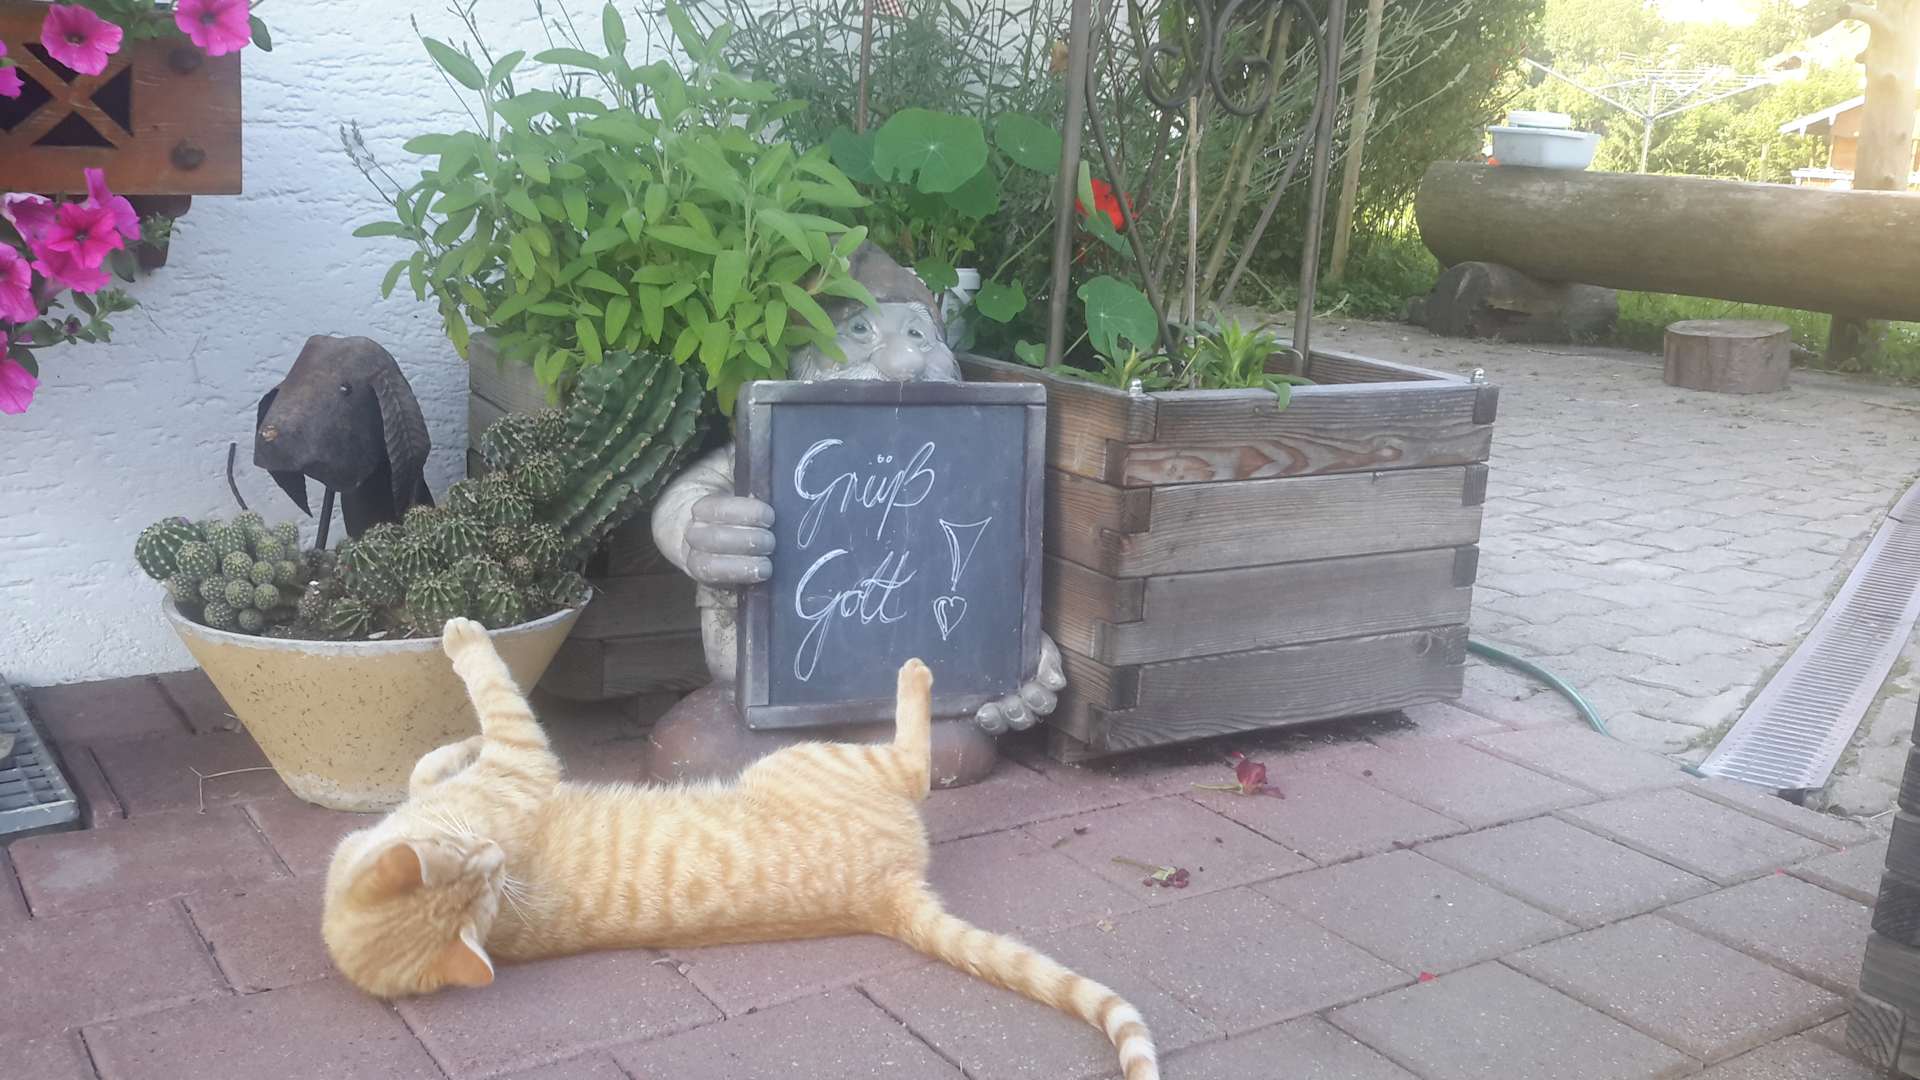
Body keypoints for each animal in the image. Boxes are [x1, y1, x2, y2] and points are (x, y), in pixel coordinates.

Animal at [322, 617, 1159, 1080]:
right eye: (487, 872)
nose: (502, 859)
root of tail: (883, 901)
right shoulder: (519, 759)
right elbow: (486, 688)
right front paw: (463, 648)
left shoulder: (501, 768)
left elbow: (438, 752)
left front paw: (446, 742)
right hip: (806, 757)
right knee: (918, 766)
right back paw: (914, 673)